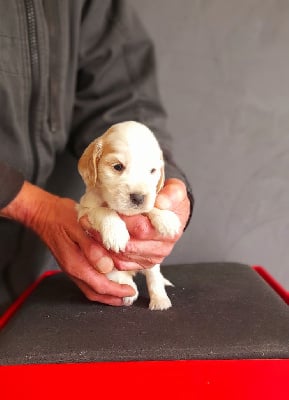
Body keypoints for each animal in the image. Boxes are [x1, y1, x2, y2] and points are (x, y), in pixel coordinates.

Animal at [76, 120, 180, 310]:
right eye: (117, 167)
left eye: (152, 171)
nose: (138, 197)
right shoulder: (84, 210)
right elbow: (104, 210)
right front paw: (116, 233)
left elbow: (151, 205)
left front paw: (165, 218)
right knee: (121, 277)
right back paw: (129, 289)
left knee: (153, 274)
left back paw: (160, 299)